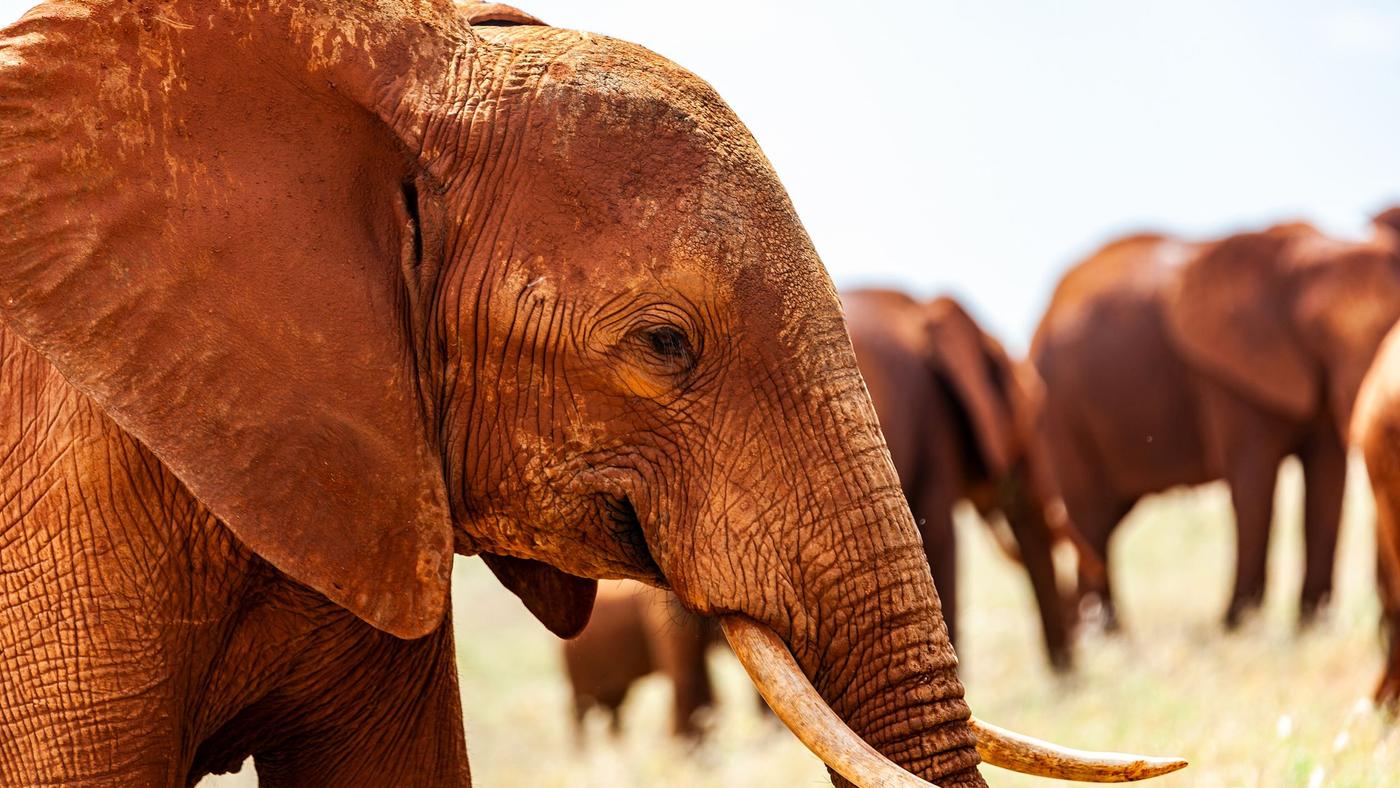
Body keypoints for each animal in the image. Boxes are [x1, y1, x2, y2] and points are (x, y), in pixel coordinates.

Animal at [1032, 213, 1400, 630]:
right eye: (1316, 329)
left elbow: (1326, 479)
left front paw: (1311, 624)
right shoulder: (1228, 376)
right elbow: (1255, 481)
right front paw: (1238, 625)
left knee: (1103, 523)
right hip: (1059, 411)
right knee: (1090, 517)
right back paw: (1104, 633)